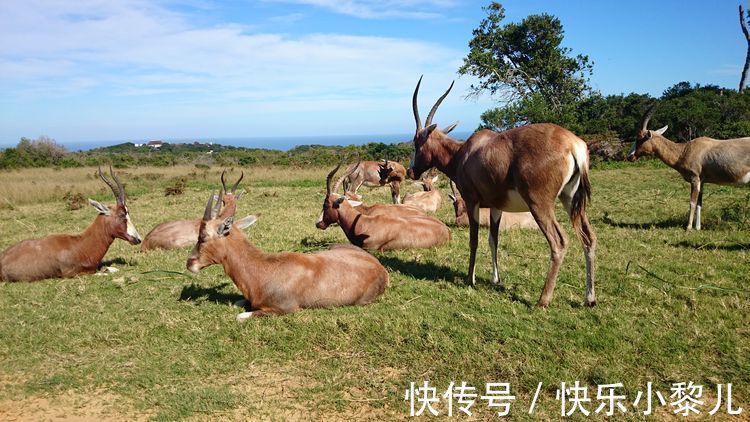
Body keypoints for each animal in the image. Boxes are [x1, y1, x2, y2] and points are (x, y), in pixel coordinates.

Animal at [188, 192, 390, 320]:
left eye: (202, 236)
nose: (190, 263)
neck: (264, 268)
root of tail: (381, 269)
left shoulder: (285, 309)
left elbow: (241, 316)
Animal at [408, 76, 596, 306]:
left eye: (417, 142)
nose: (411, 171)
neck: (463, 153)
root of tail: (572, 143)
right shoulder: (496, 206)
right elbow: (493, 239)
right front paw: (495, 279)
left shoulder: (471, 201)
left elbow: (474, 240)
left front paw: (470, 280)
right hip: (571, 199)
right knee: (589, 238)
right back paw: (590, 298)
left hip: (540, 204)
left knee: (559, 242)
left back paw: (542, 301)